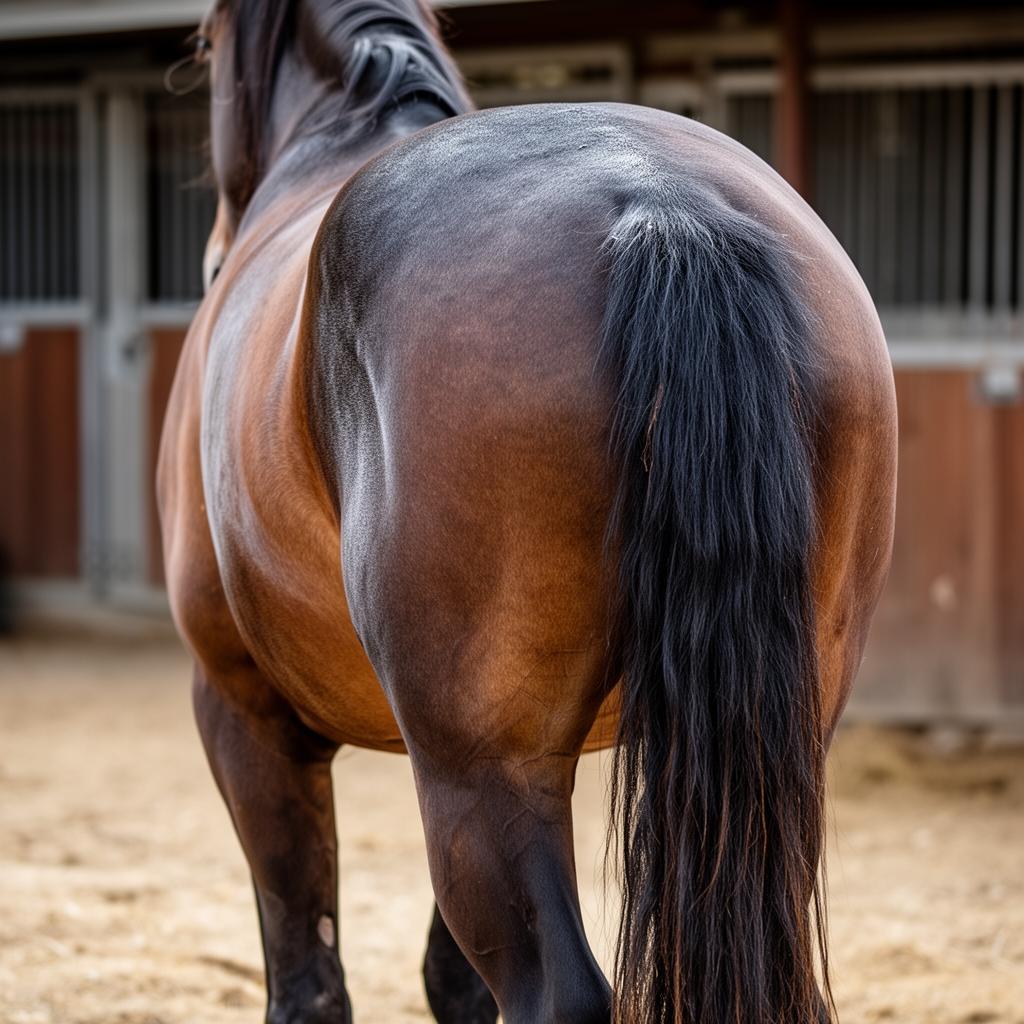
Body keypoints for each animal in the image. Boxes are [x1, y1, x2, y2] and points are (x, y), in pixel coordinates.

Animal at [157, 2, 897, 1022]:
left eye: (203, 44)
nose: (211, 255)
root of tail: (660, 201)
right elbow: (449, 981)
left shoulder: (245, 712)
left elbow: (310, 982)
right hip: (771, 749)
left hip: (479, 770)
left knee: (557, 993)